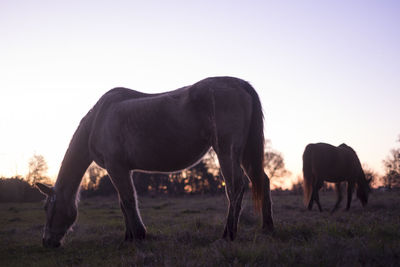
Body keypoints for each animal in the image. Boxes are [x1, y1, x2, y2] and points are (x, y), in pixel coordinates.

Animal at [35, 76, 276, 248]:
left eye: (48, 207)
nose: (47, 242)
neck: (98, 120)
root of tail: (240, 84)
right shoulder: (123, 169)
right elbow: (123, 203)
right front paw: (129, 236)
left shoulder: (116, 168)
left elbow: (128, 201)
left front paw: (139, 235)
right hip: (243, 153)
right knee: (262, 181)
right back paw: (267, 228)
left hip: (227, 151)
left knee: (235, 187)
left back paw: (228, 235)